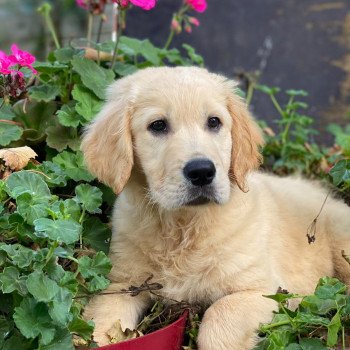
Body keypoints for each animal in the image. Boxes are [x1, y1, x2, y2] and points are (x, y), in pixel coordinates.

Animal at [80, 67, 350, 348]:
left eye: (214, 122)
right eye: (158, 125)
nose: (201, 172)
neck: (183, 227)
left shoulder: (269, 291)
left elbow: (219, 315)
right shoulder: (121, 285)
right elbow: (100, 327)